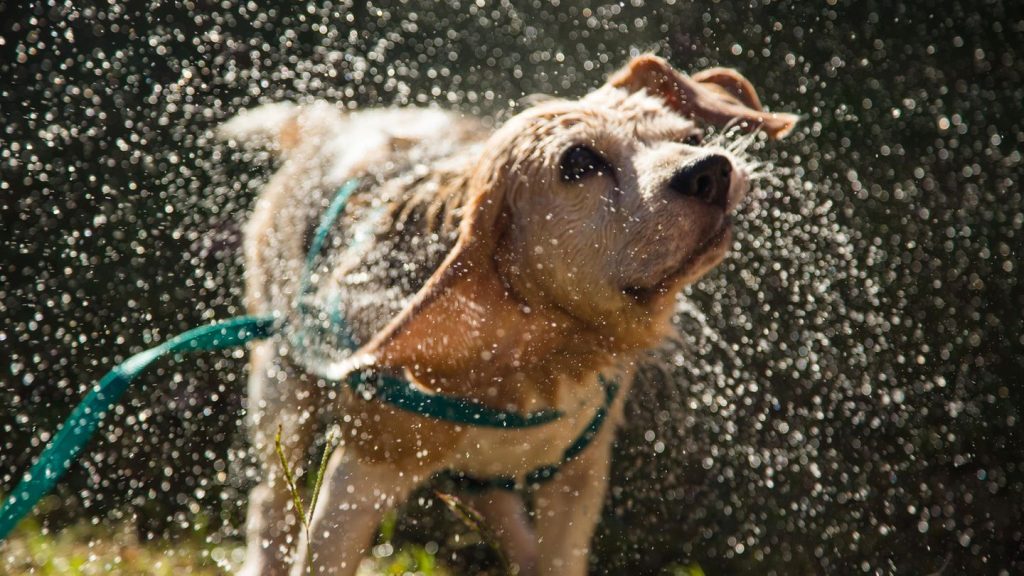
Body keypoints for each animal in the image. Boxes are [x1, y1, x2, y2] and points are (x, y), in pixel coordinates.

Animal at [222, 54, 798, 573]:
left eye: (691, 137)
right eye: (579, 163)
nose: (711, 170)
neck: (531, 343)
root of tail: (332, 124)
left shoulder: (580, 480)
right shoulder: (361, 478)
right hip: (282, 393)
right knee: (272, 505)